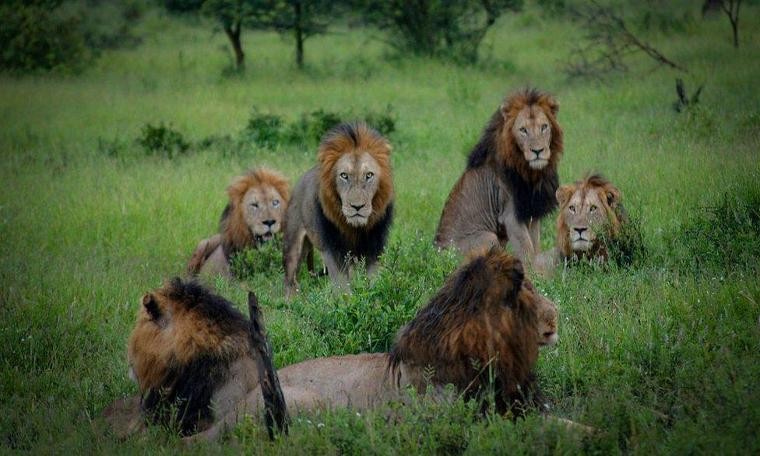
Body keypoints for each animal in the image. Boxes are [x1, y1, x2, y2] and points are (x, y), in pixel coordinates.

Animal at [282, 123, 394, 298]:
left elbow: (374, 283)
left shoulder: (375, 248)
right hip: (293, 244)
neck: (355, 228)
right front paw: (348, 303)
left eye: (369, 175)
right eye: (344, 175)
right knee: (290, 280)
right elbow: (343, 288)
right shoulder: (333, 249)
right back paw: (291, 301)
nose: (357, 207)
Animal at [434, 87, 564, 268]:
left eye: (544, 127)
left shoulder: (531, 211)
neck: (530, 172)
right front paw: (534, 273)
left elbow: (535, 246)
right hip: (488, 237)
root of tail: (434, 254)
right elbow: (527, 251)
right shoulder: (511, 215)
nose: (537, 151)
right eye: (523, 130)